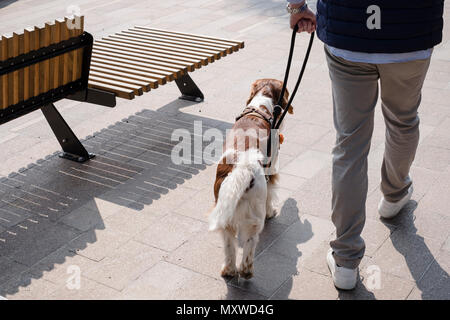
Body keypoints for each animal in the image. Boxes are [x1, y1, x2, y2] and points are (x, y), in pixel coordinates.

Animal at [208, 79, 292, 278]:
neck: (260, 106)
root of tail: (242, 168)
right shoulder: (272, 165)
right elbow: (271, 193)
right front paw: (272, 212)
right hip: (254, 216)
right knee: (250, 244)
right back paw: (246, 271)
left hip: (225, 213)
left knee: (229, 246)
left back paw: (229, 270)